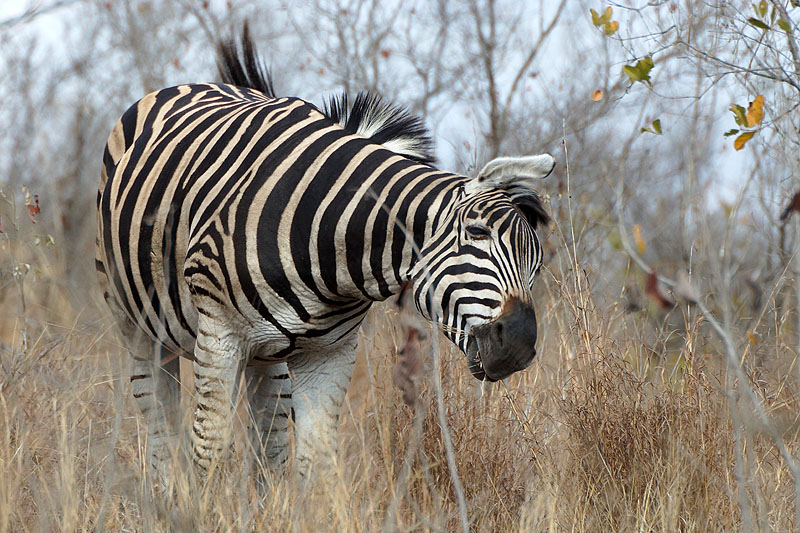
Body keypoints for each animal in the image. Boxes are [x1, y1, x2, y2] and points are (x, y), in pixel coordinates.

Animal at [97, 26, 552, 486]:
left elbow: (316, 464)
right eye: (476, 233)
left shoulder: (329, 353)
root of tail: (198, 84)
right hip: (139, 327)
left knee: (269, 440)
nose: (519, 345)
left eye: (536, 265)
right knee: (161, 426)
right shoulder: (218, 336)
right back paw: (167, 494)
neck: (331, 248)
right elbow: (209, 449)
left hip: (266, 356)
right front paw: (201, 503)